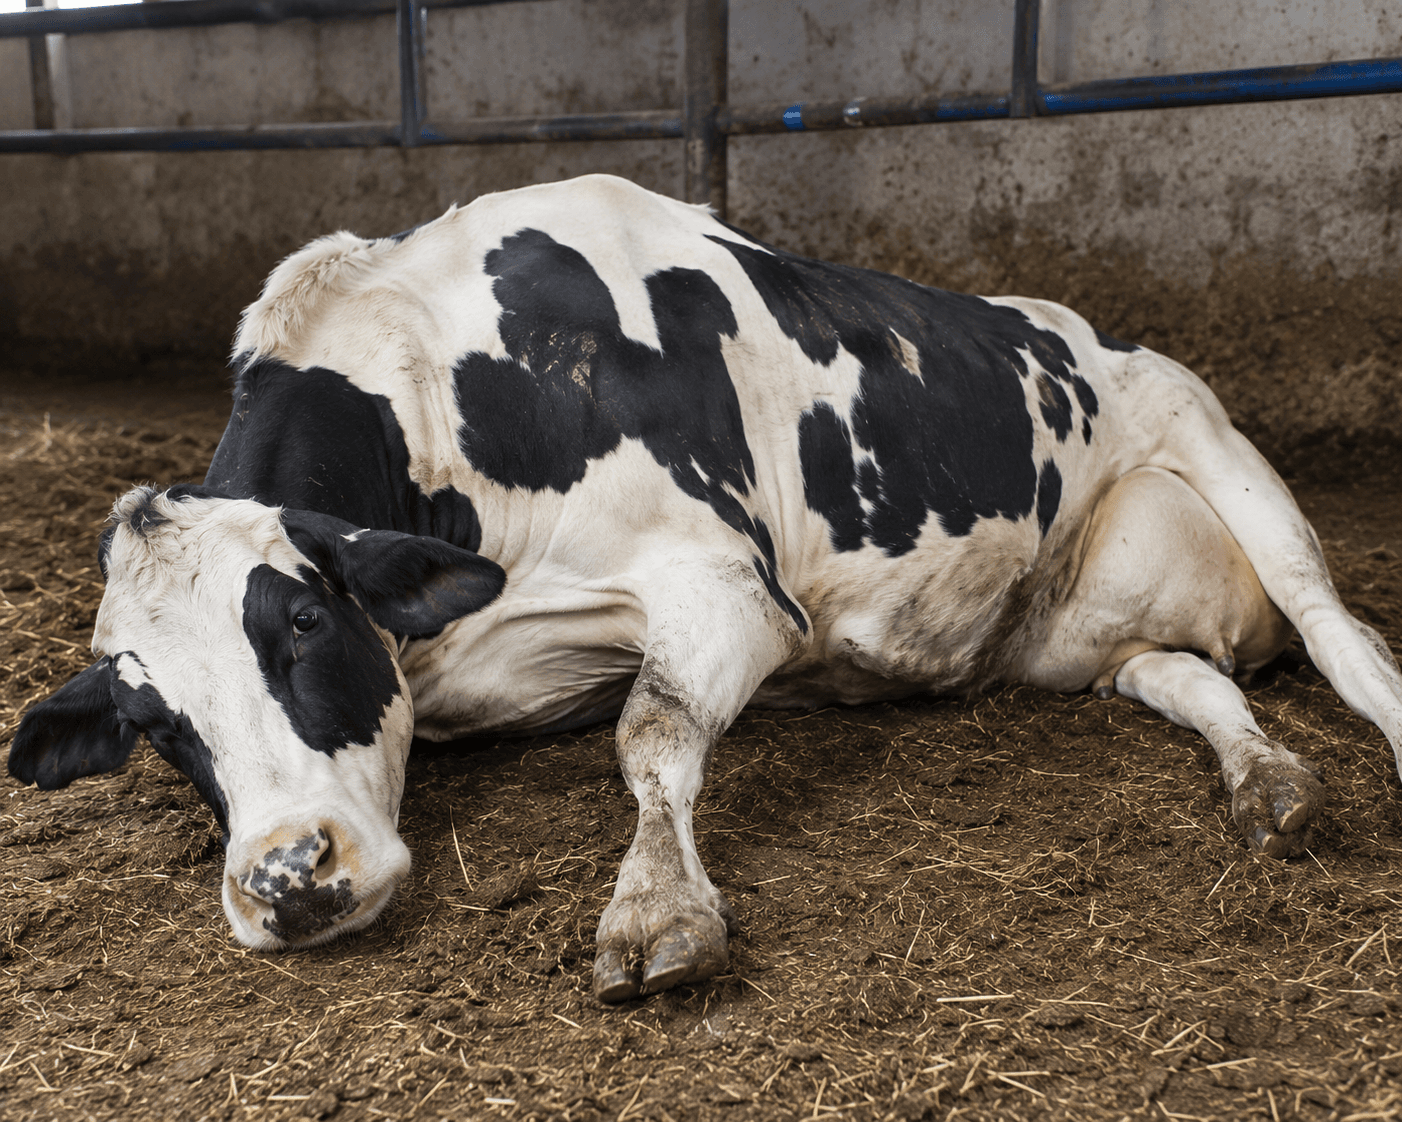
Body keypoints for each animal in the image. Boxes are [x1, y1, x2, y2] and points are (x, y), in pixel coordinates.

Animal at [9, 174, 1402, 1003]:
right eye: (154, 726)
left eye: (304, 621)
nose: (290, 881)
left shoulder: (728, 587)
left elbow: (652, 734)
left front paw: (656, 910)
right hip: (1073, 630)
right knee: (1186, 677)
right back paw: (1267, 783)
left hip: (1220, 451)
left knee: (1348, 643)